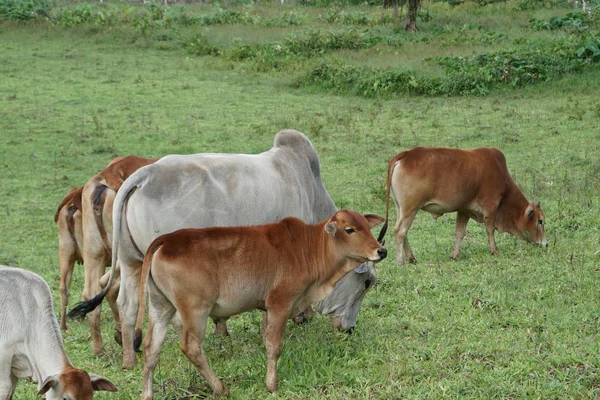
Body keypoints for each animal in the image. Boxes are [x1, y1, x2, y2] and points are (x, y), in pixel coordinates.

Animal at [70, 129, 378, 368]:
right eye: (366, 283)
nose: (349, 329)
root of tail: (143, 175)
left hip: (130, 262)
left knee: (127, 304)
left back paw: (129, 361)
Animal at [138, 209, 386, 396]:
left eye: (367, 226)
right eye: (350, 229)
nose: (381, 250)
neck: (309, 247)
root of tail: (166, 240)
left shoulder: (268, 307)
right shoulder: (280, 302)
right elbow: (274, 346)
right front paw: (272, 385)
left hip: (161, 306)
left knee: (151, 347)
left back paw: (147, 394)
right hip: (195, 310)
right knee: (191, 348)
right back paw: (220, 388)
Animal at [380, 147, 548, 266]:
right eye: (540, 221)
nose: (545, 243)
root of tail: (406, 154)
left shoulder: (464, 210)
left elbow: (459, 233)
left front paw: (454, 255)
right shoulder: (490, 207)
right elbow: (490, 230)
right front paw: (494, 250)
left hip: (401, 209)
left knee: (403, 232)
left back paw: (412, 258)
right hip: (410, 209)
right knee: (400, 232)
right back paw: (400, 261)